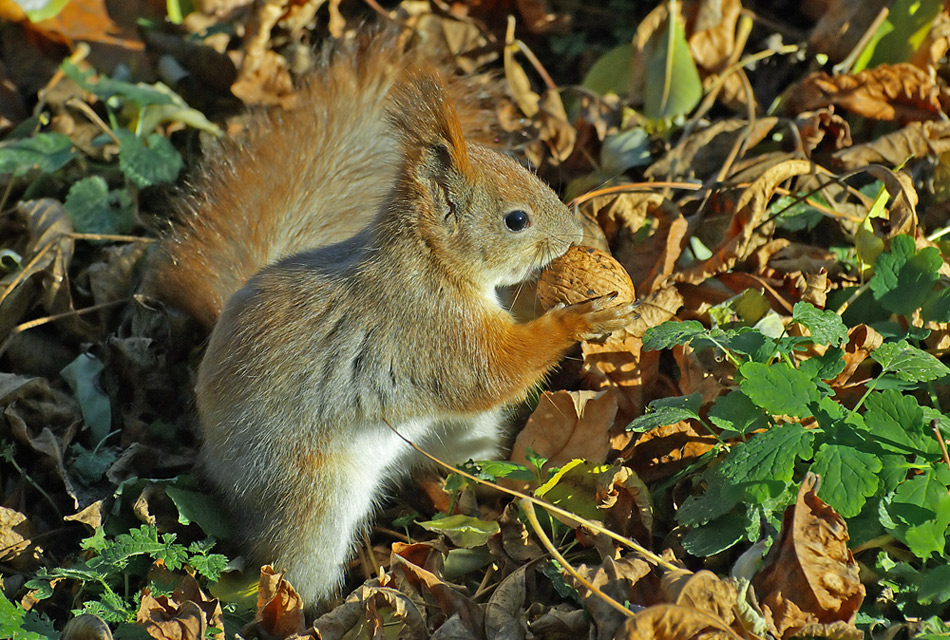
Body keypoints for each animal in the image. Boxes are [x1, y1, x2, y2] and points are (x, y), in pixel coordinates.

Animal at [152, 32, 636, 608]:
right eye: (516, 219)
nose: (573, 237)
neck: (432, 265)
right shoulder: (432, 333)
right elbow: (494, 373)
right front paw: (577, 318)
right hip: (307, 491)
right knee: (295, 561)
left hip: (459, 437)